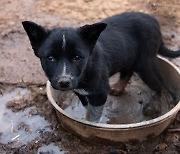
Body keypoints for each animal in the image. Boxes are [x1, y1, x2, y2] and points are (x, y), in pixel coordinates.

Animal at [22, 12, 180, 122]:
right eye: (50, 58)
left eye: (77, 57)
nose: (64, 82)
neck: (85, 71)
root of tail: (154, 20)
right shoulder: (81, 92)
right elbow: (88, 108)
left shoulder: (99, 94)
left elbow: (93, 115)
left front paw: (90, 124)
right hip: (129, 56)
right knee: (128, 71)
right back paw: (118, 88)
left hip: (144, 63)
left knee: (158, 81)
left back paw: (154, 105)